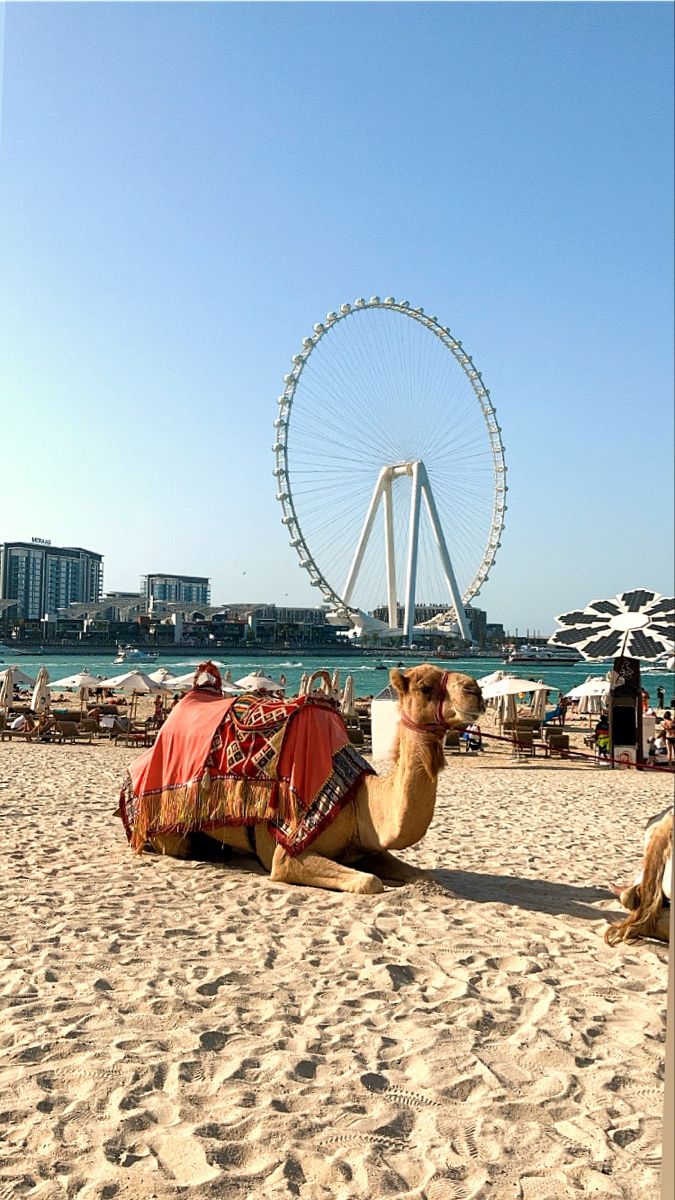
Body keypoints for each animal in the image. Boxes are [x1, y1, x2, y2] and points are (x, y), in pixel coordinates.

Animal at [121, 667, 482, 892]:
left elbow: (422, 877)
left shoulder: (365, 848)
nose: (475, 690)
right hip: (166, 831)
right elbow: (369, 882)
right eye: (425, 687)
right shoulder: (288, 850)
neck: (357, 800)